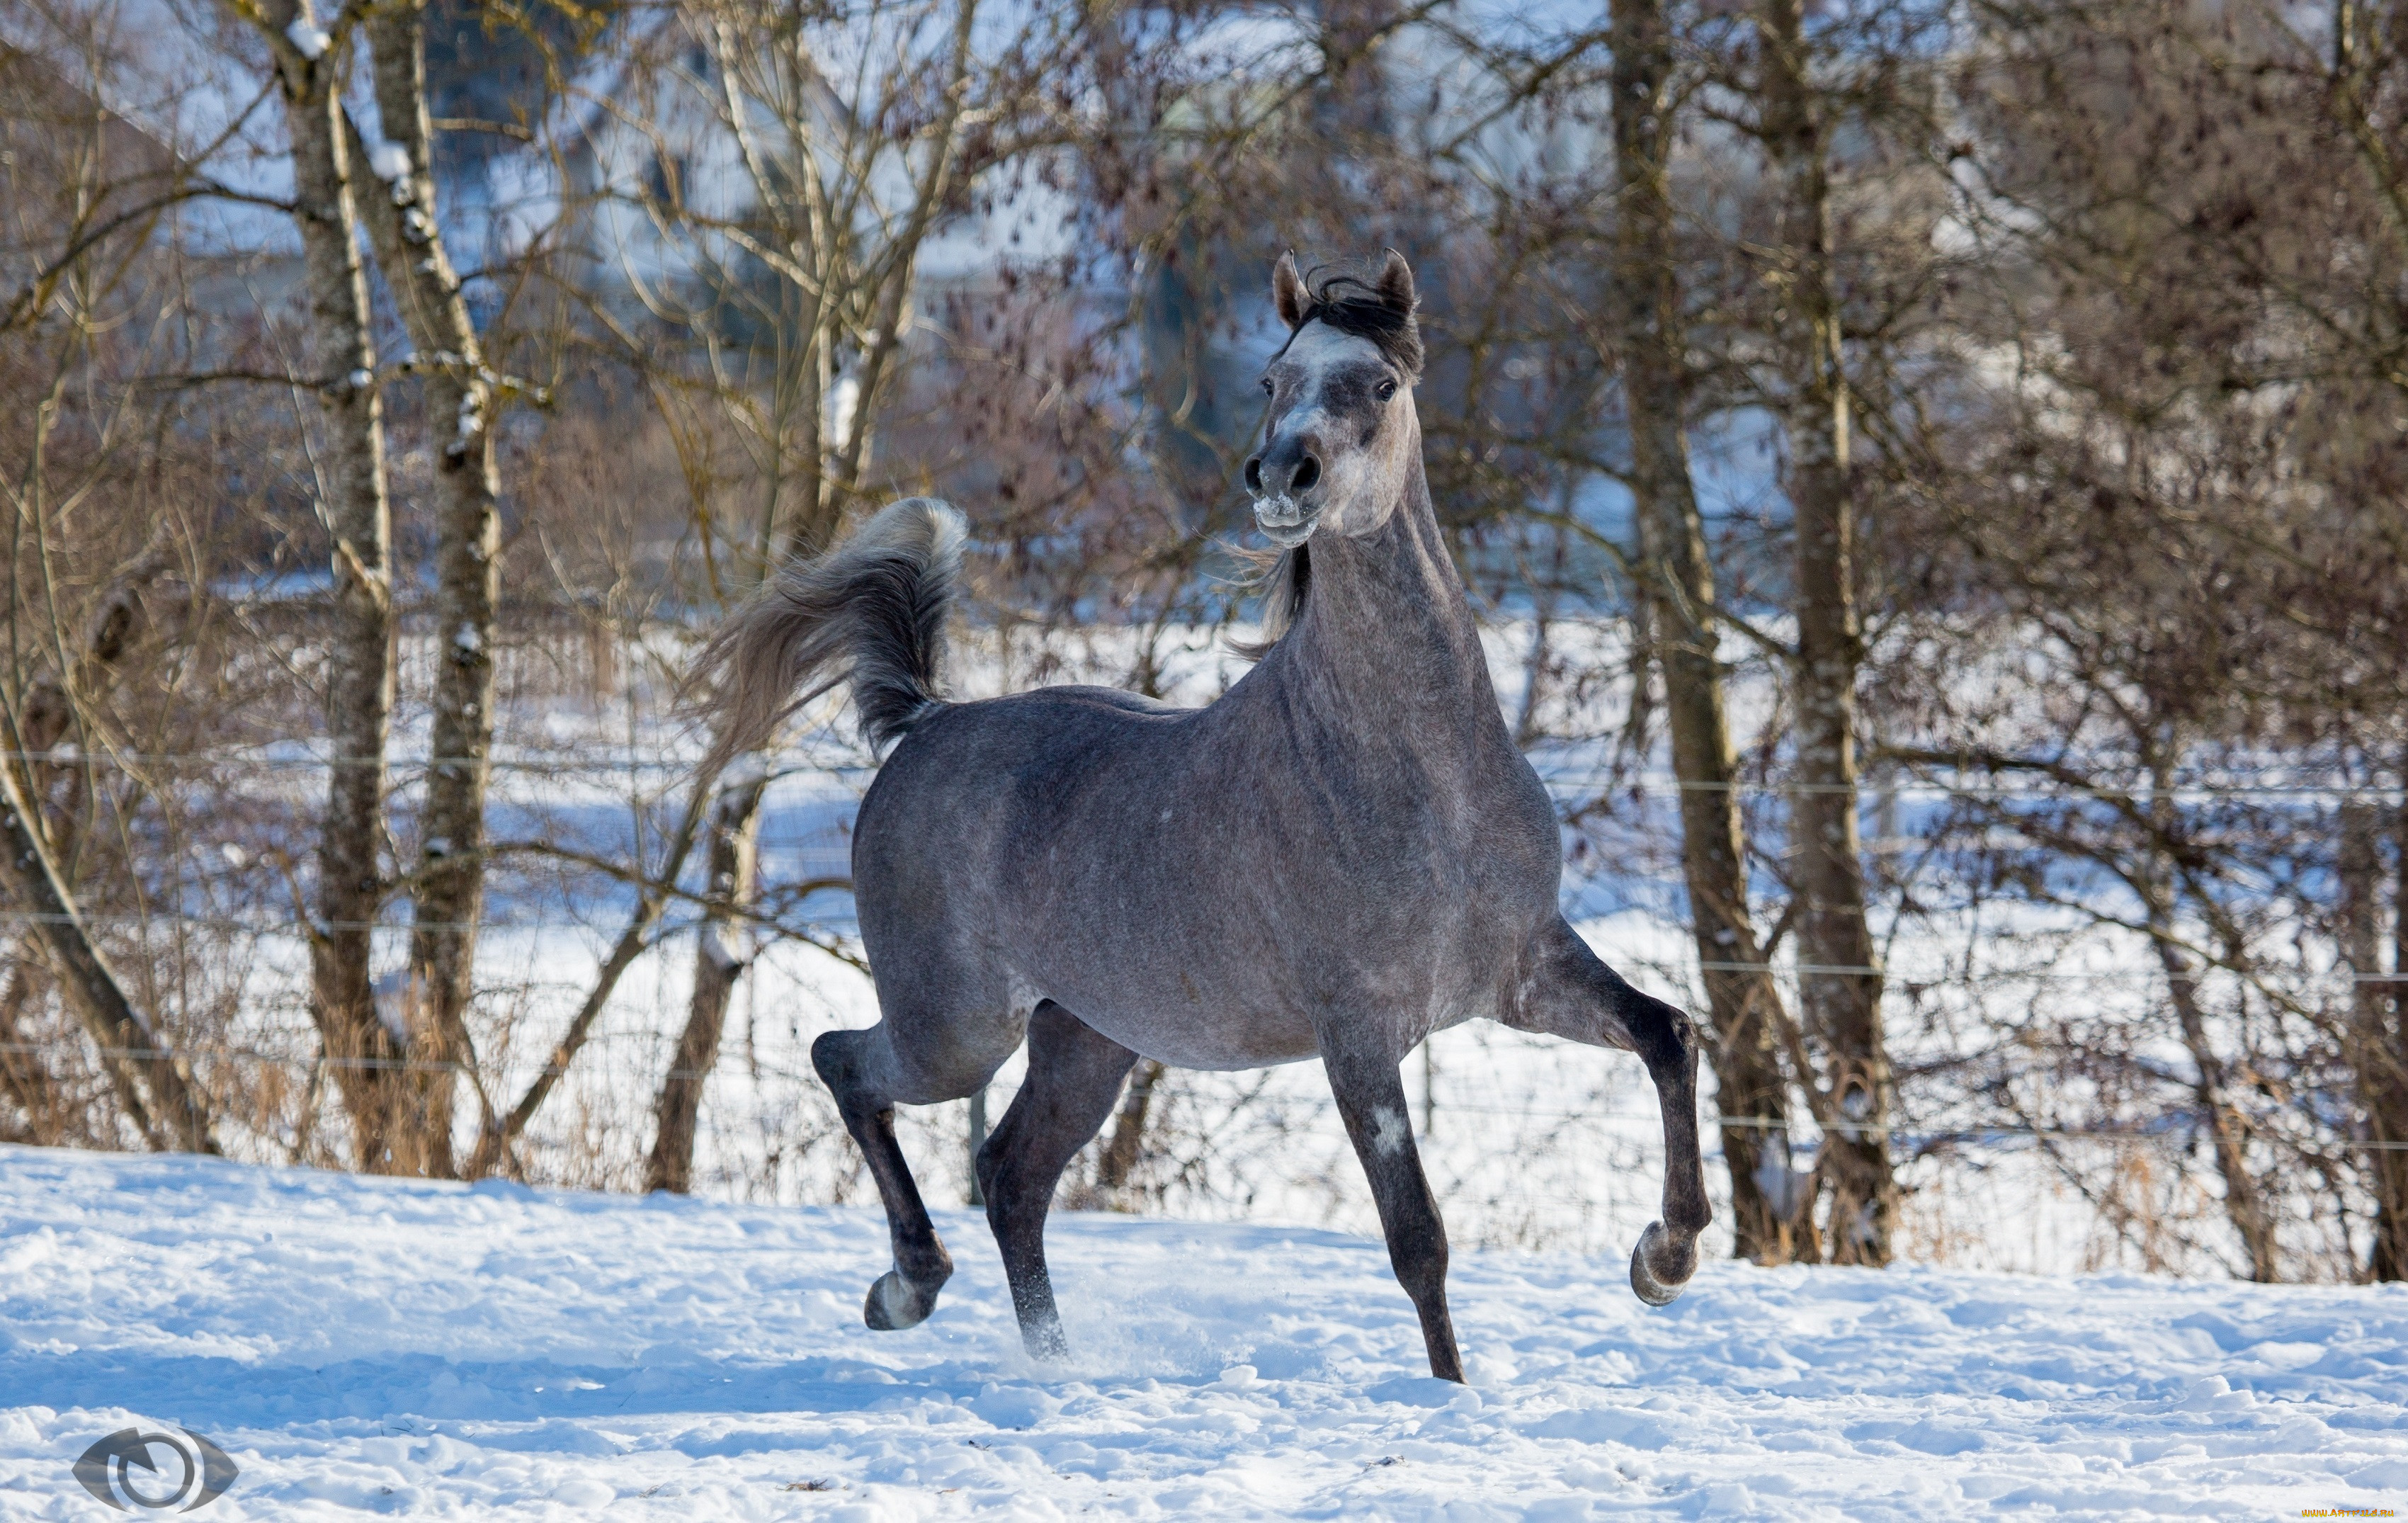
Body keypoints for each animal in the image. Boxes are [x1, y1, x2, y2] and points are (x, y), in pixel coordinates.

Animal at [698, 247, 1714, 1378]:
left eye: (1380, 383)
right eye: (1273, 379)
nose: (1281, 477)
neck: (1423, 778)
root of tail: (926, 721)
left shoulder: (1523, 969)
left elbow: (1669, 1033)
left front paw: (1663, 1260)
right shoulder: (1359, 1033)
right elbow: (1419, 1239)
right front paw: (1455, 1394)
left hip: (1084, 1040)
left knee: (1011, 1173)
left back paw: (1051, 1362)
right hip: (953, 1029)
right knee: (848, 1062)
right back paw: (906, 1287)